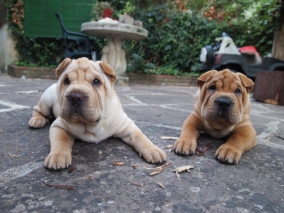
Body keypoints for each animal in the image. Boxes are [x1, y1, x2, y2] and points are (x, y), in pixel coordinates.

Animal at [28, 57, 166, 170]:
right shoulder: (59, 126)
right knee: (38, 109)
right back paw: (37, 120)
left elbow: (141, 137)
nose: (75, 96)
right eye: (66, 80)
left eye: (96, 81)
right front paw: (58, 156)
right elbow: (61, 140)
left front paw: (154, 150)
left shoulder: (126, 125)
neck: (92, 125)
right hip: (47, 100)